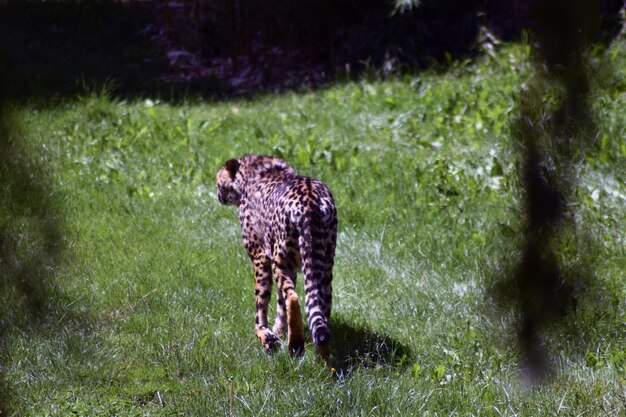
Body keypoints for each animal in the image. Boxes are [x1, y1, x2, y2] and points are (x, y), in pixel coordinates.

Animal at [217, 156, 338, 358]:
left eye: (219, 183)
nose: (218, 196)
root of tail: (310, 200)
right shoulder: (294, 269)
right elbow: (281, 307)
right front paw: (279, 331)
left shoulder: (260, 257)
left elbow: (262, 305)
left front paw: (266, 334)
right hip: (324, 267)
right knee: (320, 310)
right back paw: (322, 356)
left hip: (280, 262)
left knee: (292, 298)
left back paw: (294, 345)